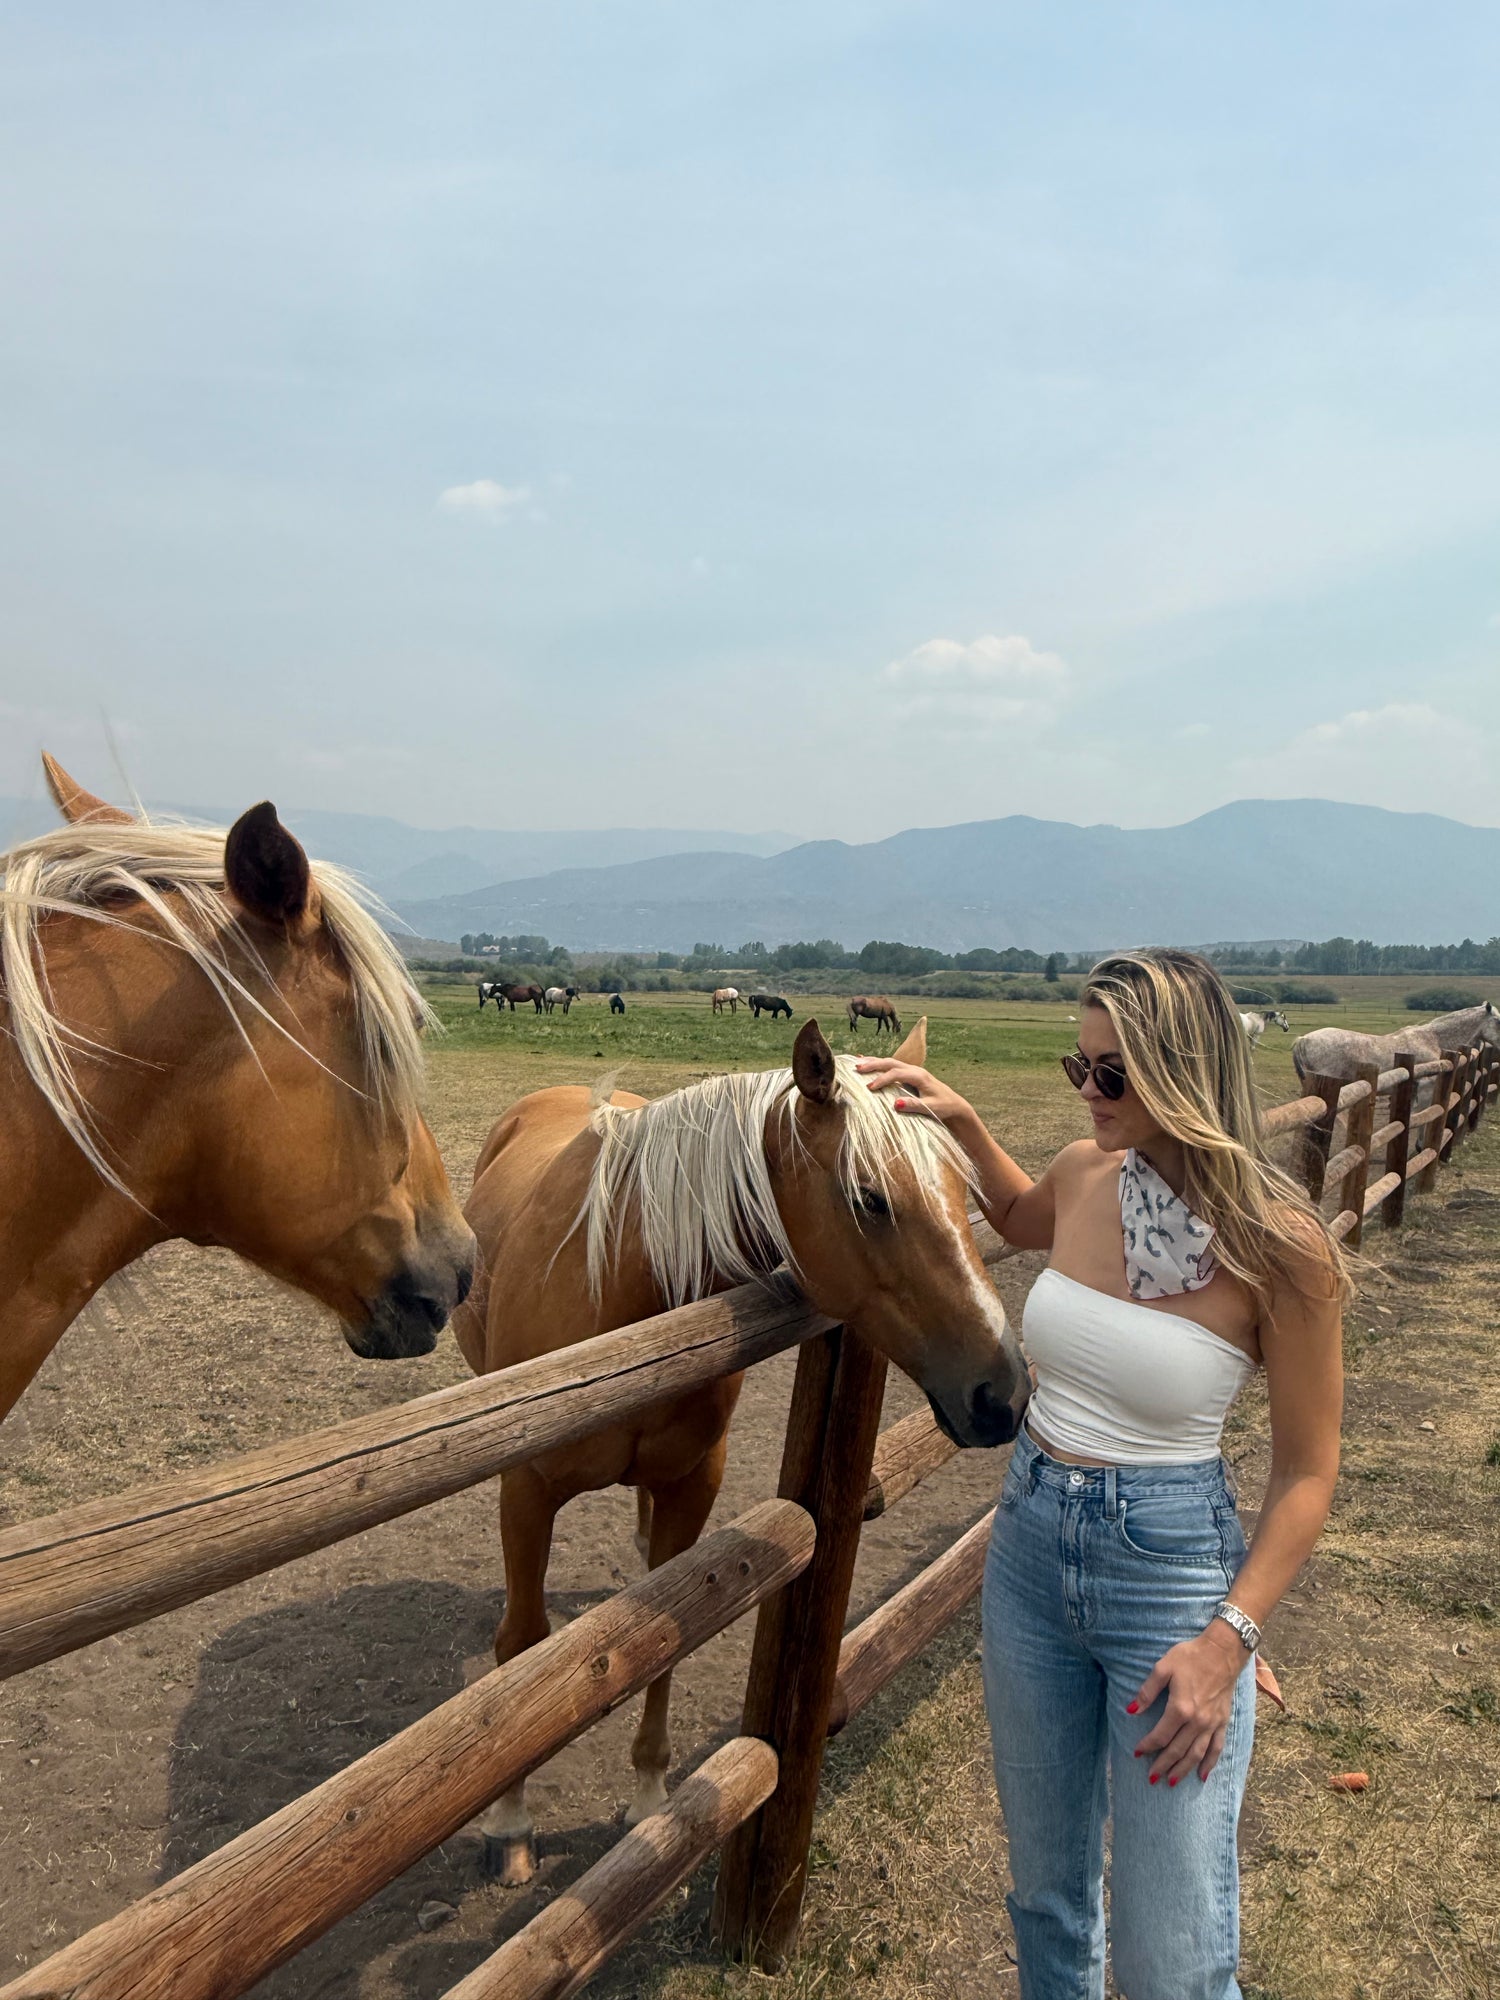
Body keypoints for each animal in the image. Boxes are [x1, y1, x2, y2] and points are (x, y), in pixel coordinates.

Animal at [453, 1016, 1028, 1882]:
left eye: (965, 1191)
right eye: (869, 1199)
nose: (1006, 1394)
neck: (619, 1279)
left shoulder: (694, 1483)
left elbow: (668, 1629)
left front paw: (651, 1800)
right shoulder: (525, 1490)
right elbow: (520, 1654)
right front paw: (511, 1825)